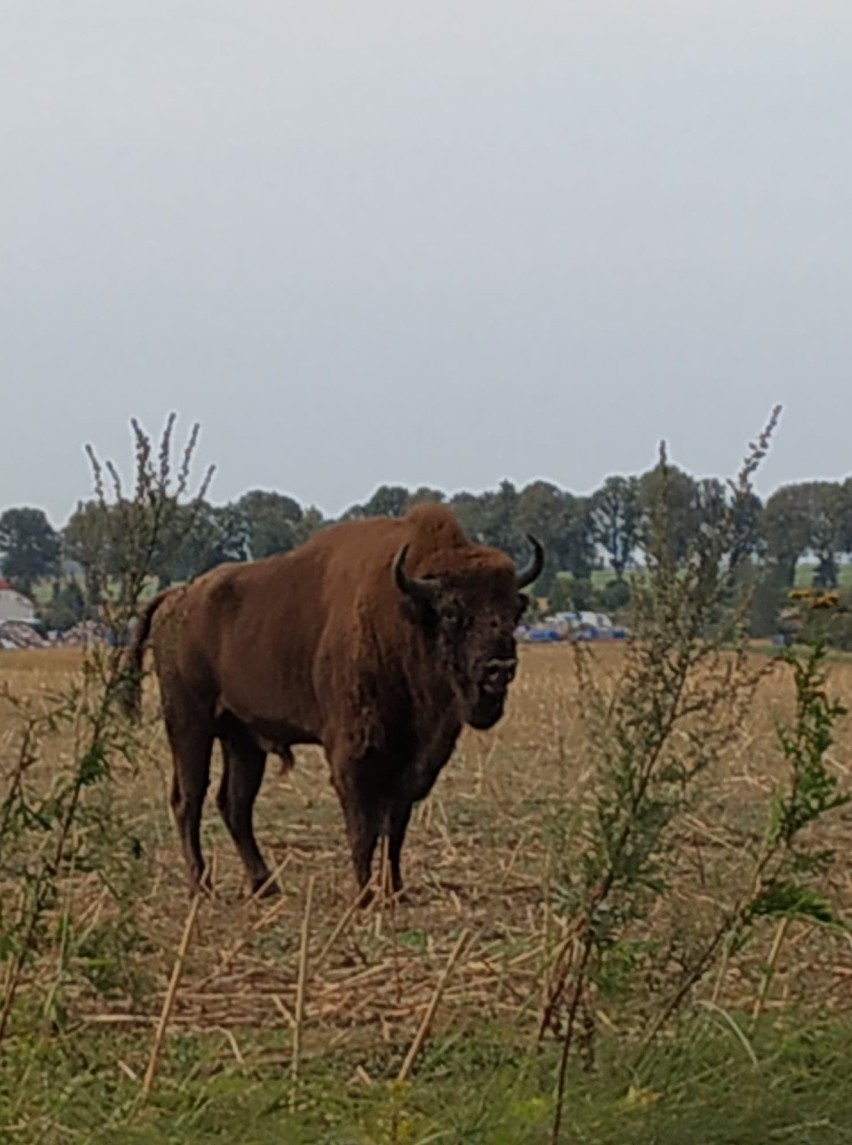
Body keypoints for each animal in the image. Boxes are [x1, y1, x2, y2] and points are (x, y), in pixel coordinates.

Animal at [123, 506, 542, 897]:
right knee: (189, 799)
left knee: (234, 804)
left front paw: (396, 890)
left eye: (513, 610)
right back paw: (201, 885)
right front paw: (365, 893)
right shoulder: (353, 754)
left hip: (241, 739)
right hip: (189, 724)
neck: (404, 616)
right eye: (452, 612)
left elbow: (395, 828)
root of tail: (177, 598)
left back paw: (264, 884)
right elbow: (364, 827)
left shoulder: (412, 763)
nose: (500, 668)